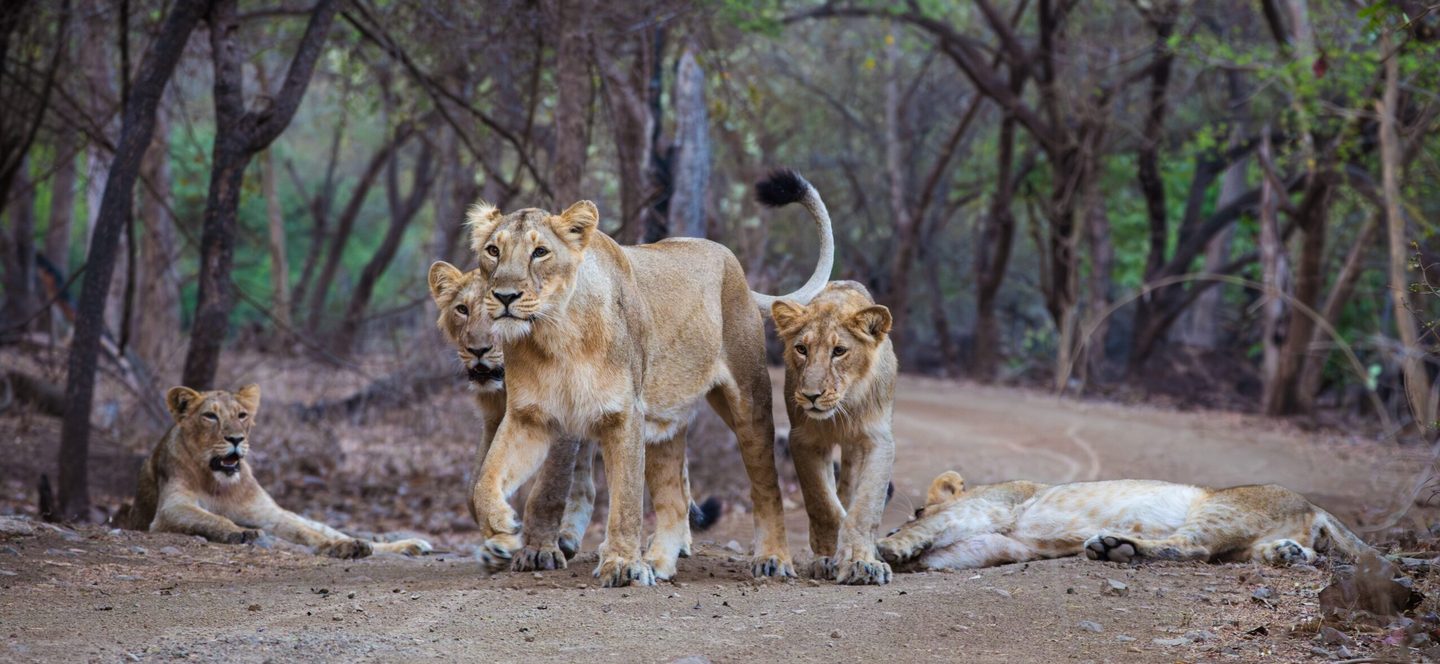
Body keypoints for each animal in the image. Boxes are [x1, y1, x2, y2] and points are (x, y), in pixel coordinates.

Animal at [119, 384, 431, 558]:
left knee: (328, 529)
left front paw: (342, 547)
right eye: (210, 416)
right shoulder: (170, 509)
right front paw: (240, 533)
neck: (218, 483)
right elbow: (212, 518)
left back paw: (406, 545)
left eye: (242, 415)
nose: (236, 439)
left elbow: (308, 534)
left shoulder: (268, 514)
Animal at [428, 262, 720, 571]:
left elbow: (547, 490)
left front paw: (537, 550)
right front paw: (499, 540)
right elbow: (476, 485)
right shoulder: (497, 420)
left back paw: (677, 544)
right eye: (462, 309)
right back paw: (568, 537)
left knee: (679, 476)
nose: (478, 350)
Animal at [464, 169, 834, 586]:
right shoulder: (529, 416)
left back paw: (772, 558)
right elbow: (485, 479)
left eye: (540, 252)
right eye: (493, 251)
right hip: (664, 423)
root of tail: (728, 258)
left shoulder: (625, 415)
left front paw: (622, 565)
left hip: (749, 405)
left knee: (766, 485)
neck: (555, 335)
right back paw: (658, 562)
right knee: (674, 499)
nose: (505, 296)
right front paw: (502, 529)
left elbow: (626, 500)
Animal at [771, 281, 897, 585]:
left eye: (839, 351)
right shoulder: (803, 440)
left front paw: (861, 562)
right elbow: (824, 503)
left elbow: (864, 506)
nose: (811, 395)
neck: (844, 407)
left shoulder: (878, 440)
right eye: (801, 348)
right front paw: (830, 558)